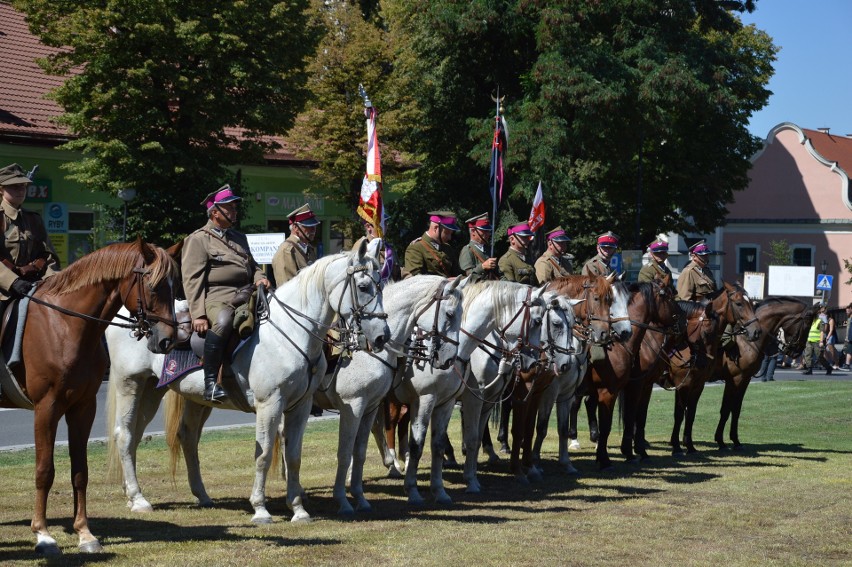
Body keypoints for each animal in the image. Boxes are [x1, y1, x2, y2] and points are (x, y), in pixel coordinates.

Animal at [0, 242, 180, 556]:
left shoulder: (83, 407)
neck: (65, 325)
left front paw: (84, 534)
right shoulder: (46, 407)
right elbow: (44, 470)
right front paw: (43, 535)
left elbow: (80, 472)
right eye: (154, 286)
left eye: (175, 285)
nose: (167, 340)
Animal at [104, 243, 390, 524]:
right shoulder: (270, 404)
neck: (289, 332)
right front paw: (261, 509)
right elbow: (263, 454)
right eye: (363, 286)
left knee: (167, 436)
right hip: (131, 384)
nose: (381, 336)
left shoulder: (301, 405)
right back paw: (138, 499)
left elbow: (294, 456)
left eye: (381, 285)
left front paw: (298, 510)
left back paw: (186, 495)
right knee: (125, 434)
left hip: (158, 391)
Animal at [312, 274, 462, 516]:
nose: (449, 359)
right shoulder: (353, 406)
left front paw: (360, 499)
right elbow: (346, 452)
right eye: (450, 314)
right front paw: (343, 501)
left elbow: (360, 452)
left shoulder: (372, 406)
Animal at [712, 298, 812, 448]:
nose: (797, 351)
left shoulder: (745, 379)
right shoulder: (734, 379)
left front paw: (735, 440)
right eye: (806, 324)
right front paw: (720, 440)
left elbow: (736, 409)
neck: (745, 341)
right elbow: (726, 409)